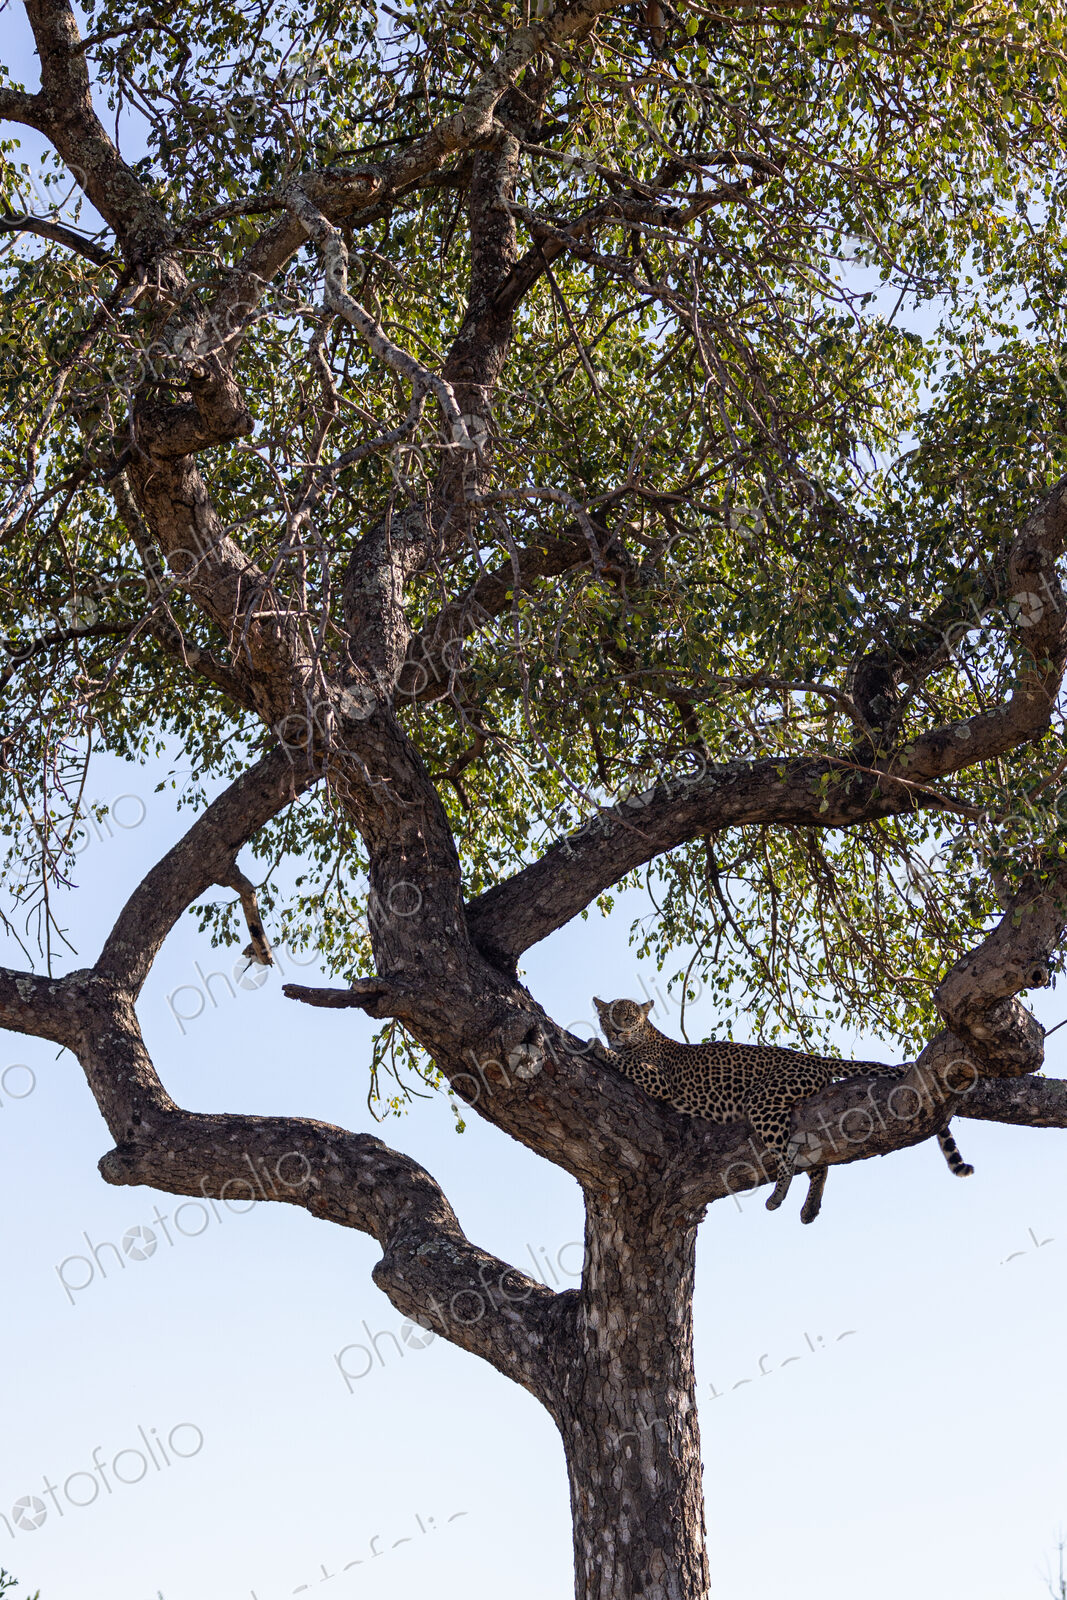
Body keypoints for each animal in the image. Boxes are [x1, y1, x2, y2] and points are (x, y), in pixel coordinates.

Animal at [593, 996, 973, 1224]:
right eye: (610, 1018)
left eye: (630, 1018)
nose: (617, 1032)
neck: (644, 1037)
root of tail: (810, 1057)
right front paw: (603, 1044)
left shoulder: (660, 1080)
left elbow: (628, 1064)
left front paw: (597, 1047)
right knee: (819, 1164)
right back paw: (810, 1207)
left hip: (763, 1100)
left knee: (788, 1157)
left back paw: (778, 1196)